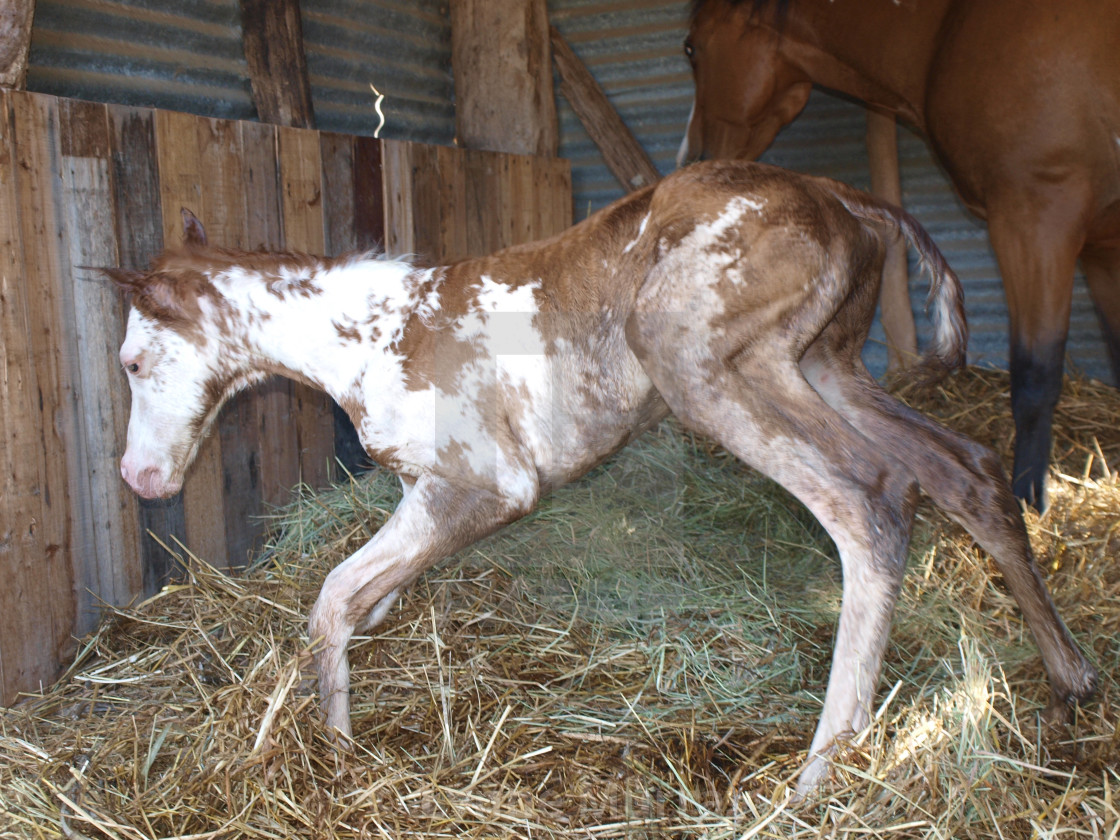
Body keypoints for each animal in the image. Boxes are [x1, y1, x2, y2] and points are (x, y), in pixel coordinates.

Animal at [111, 159, 1093, 797]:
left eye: (131, 361)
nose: (139, 475)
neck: (370, 335)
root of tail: (843, 197)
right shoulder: (422, 493)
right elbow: (365, 600)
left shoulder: (482, 486)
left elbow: (332, 597)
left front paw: (332, 751)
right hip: (826, 364)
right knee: (961, 471)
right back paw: (1071, 674)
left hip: (702, 360)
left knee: (871, 501)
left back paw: (820, 775)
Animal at [676, 0, 1120, 510]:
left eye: (690, 47)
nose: (692, 157)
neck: (947, 29)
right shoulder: (1103, 247)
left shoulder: (1035, 218)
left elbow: (1035, 375)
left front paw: (1028, 496)